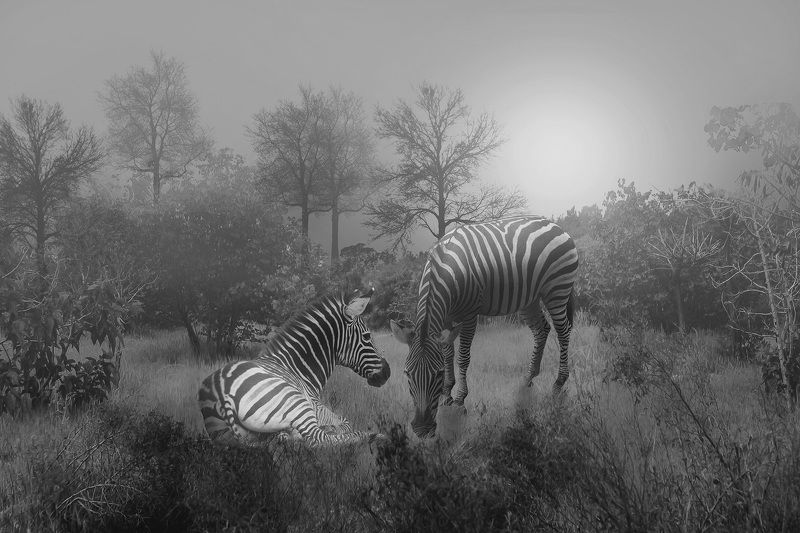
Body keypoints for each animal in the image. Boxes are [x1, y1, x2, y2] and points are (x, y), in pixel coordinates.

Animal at [198, 289, 390, 447]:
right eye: (367, 336)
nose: (387, 373)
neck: (298, 370)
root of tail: (223, 392)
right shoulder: (316, 407)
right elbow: (345, 423)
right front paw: (332, 428)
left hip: (224, 434)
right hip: (296, 402)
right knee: (319, 439)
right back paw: (375, 436)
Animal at [390, 215, 578, 438]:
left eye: (437, 374)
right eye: (407, 374)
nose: (422, 429)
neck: (445, 267)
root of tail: (556, 225)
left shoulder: (470, 315)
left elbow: (462, 358)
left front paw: (460, 400)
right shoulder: (445, 320)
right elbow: (447, 354)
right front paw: (447, 394)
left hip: (557, 289)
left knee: (563, 331)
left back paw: (558, 383)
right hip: (530, 298)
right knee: (542, 330)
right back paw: (527, 380)